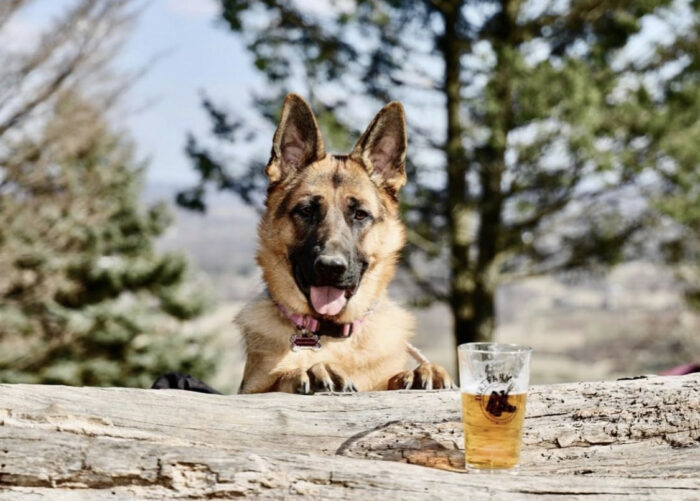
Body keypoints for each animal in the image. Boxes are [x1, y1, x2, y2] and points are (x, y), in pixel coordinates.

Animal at [235, 92, 454, 392]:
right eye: (306, 211)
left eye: (360, 214)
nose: (330, 267)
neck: (330, 335)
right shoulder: (250, 390)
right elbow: (279, 380)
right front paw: (310, 370)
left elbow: (389, 380)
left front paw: (420, 371)